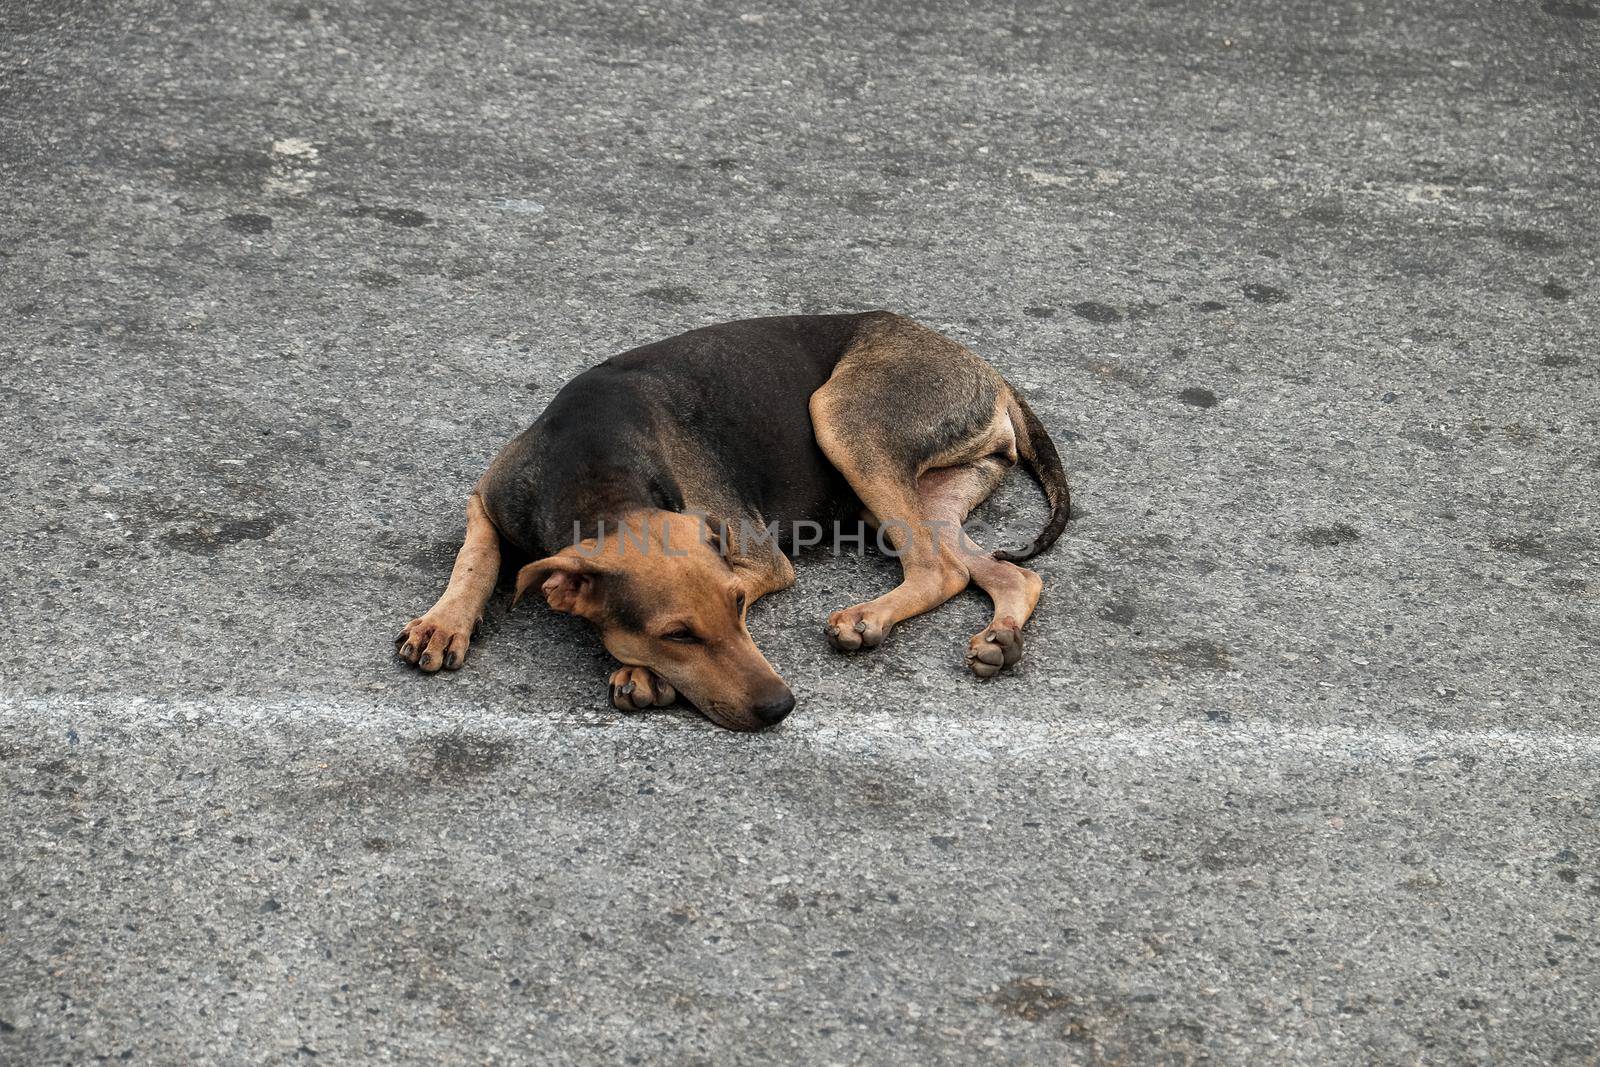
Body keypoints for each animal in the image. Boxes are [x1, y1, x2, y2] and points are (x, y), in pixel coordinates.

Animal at [393, 315, 1068, 735]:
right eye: (678, 635)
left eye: (741, 605)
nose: (781, 707)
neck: (593, 468)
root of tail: (986, 367)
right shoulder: (487, 499)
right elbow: (475, 561)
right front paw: (443, 624)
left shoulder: (761, 560)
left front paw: (639, 673)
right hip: (913, 496)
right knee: (997, 573)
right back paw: (1000, 638)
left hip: (844, 419)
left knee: (938, 569)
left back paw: (867, 619)